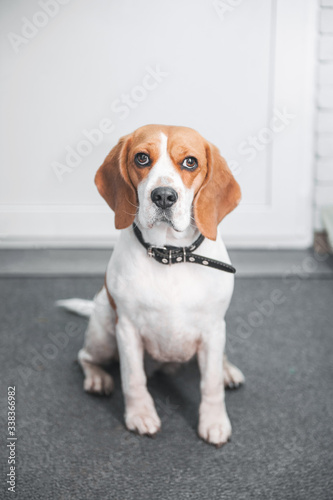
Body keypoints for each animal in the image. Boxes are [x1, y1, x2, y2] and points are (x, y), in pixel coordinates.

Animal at [57, 124, 244, 446]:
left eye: (190, 162)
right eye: (142, 158)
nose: (164, 196)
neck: (170, 255)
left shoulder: (212, 328)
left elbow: (210, 385)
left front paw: (214, 421)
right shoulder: (128, 330)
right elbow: (133, 379)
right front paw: (140, 415)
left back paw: (227, 369)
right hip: (103, 335)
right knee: (85, 357)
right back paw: (97, 378)